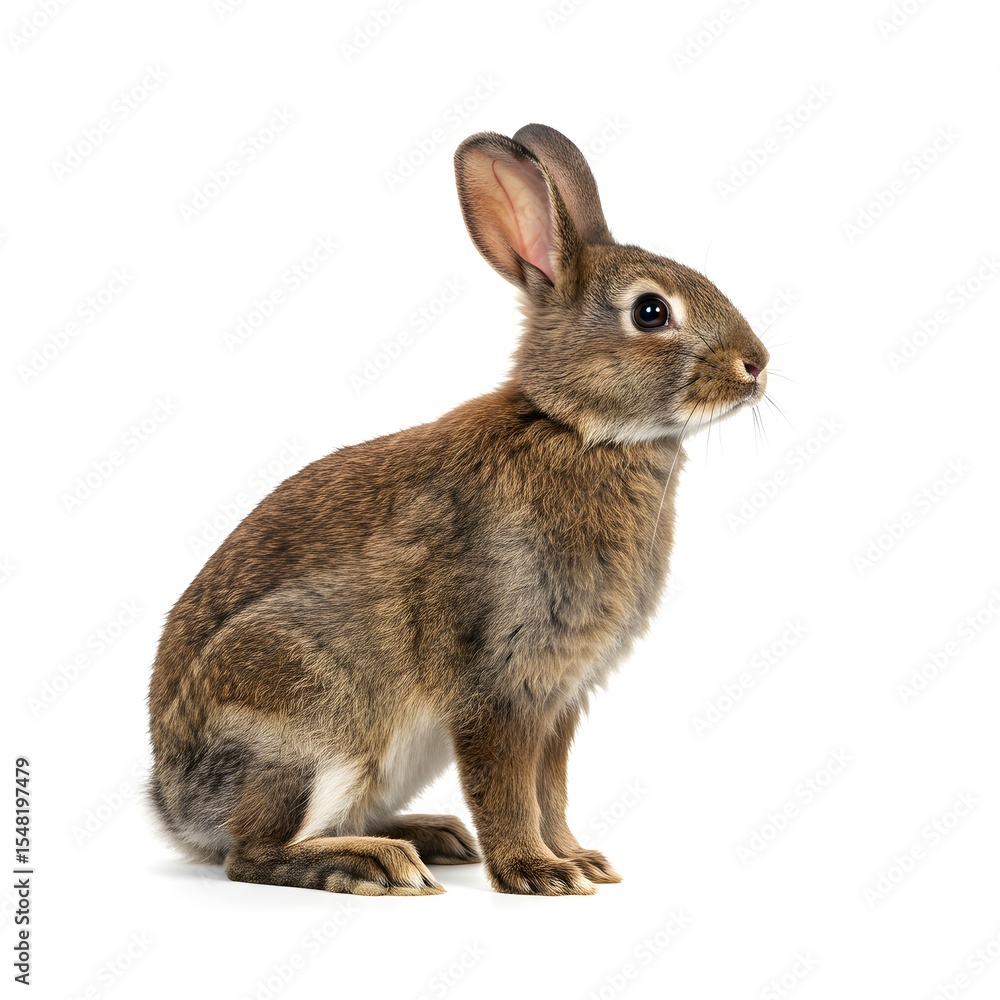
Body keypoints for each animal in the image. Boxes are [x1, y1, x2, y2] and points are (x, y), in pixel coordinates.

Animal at [148, 123, 769, 896]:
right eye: (651, 311)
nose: (757, 365)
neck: (574, 428)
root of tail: (173, 809)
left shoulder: (561, 696)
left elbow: (550, 789)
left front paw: (580, 860)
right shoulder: (499, 679)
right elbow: (507, 788)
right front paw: (538, 873)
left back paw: (430, 836)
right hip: (309, 718)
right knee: (251, 854)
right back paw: (375, 863)